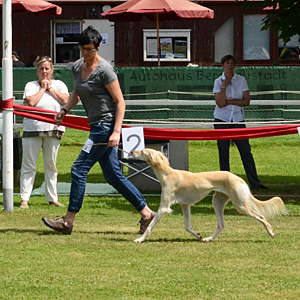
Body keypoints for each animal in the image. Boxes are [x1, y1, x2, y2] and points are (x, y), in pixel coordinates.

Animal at [131, 149, 286, 243]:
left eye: (142, 151)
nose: (132, 151)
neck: (167, 174)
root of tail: (239, 178)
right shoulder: (185, 205)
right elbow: (187, 226)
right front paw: (198, 235)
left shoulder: (164, 207)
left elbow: (151, 226)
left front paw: (140, 239)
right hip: (217, 201)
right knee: (221, 224)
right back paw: (209, 238)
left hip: (240, 204)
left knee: (261, 217)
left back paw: (271, 233)